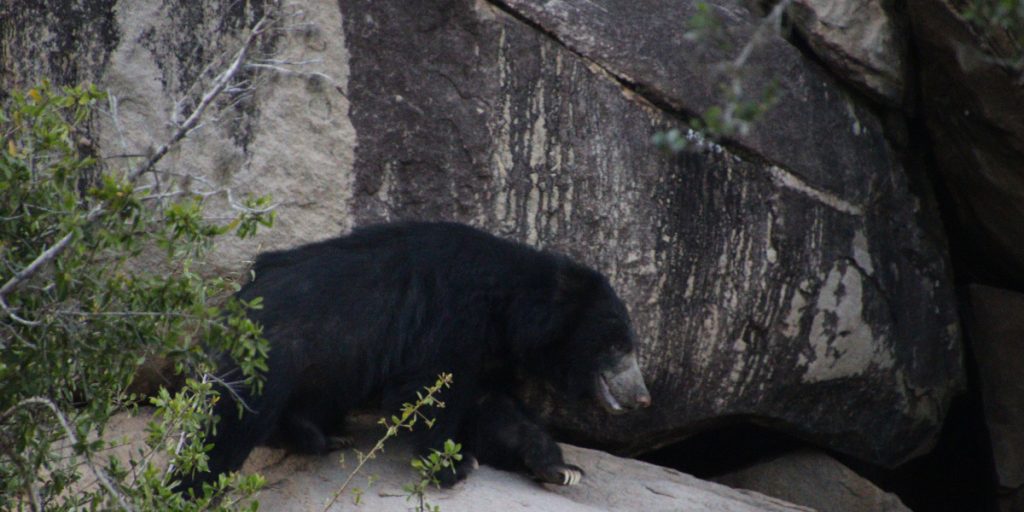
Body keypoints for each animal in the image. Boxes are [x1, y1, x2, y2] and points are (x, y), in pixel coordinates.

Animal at [177, 221, 651, 494]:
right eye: (616, 346)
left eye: (631, 345)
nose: (643, 397)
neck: (509, 305)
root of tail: (233, 303)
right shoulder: (452, 315)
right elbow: (434, 389)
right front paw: (453, 466)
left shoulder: (490, 347)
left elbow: (493, 407)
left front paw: (561, 468)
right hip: (272, 354)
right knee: (230, 427)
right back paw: (194, 486)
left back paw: (323, 436)